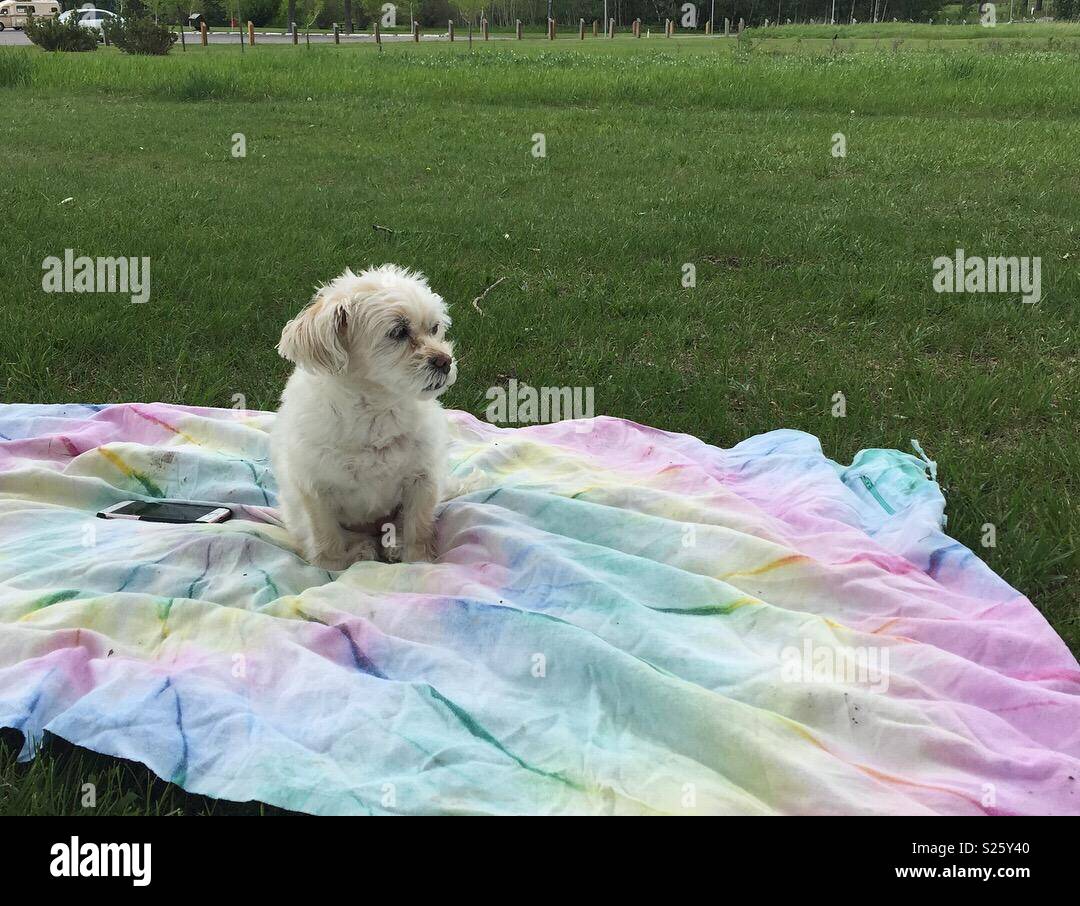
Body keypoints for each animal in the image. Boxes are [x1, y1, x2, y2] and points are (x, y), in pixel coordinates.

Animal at [272, 265, 457, 570]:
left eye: (435, 328)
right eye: (399, 332)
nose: (445, 360)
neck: (376, 410)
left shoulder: (422, 479)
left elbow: (419, 527)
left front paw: (417, 562)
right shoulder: (314, 487)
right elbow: (326, 535)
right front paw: (331, 568)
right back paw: (360, 551)